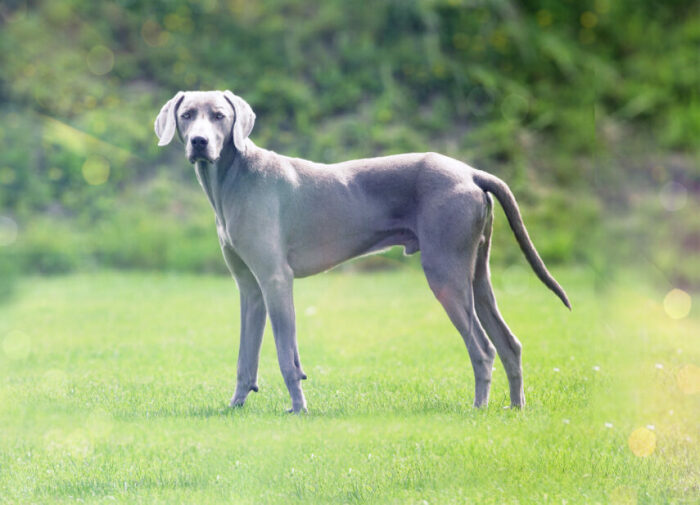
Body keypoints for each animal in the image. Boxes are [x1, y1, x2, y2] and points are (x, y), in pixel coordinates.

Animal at [154, 89, 568, 414]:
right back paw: (514, 408)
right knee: (510, 344)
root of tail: (470, 172)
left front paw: (298, 409)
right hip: (477, 276)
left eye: (219, 116)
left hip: (445, 273)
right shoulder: (250, 289)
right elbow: (246, 357)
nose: (199, 142)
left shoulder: (276, 280)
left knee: (483, 348)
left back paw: (478, 408)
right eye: (187, 115)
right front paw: (235, 406)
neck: (233, 177)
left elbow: (287, 356)